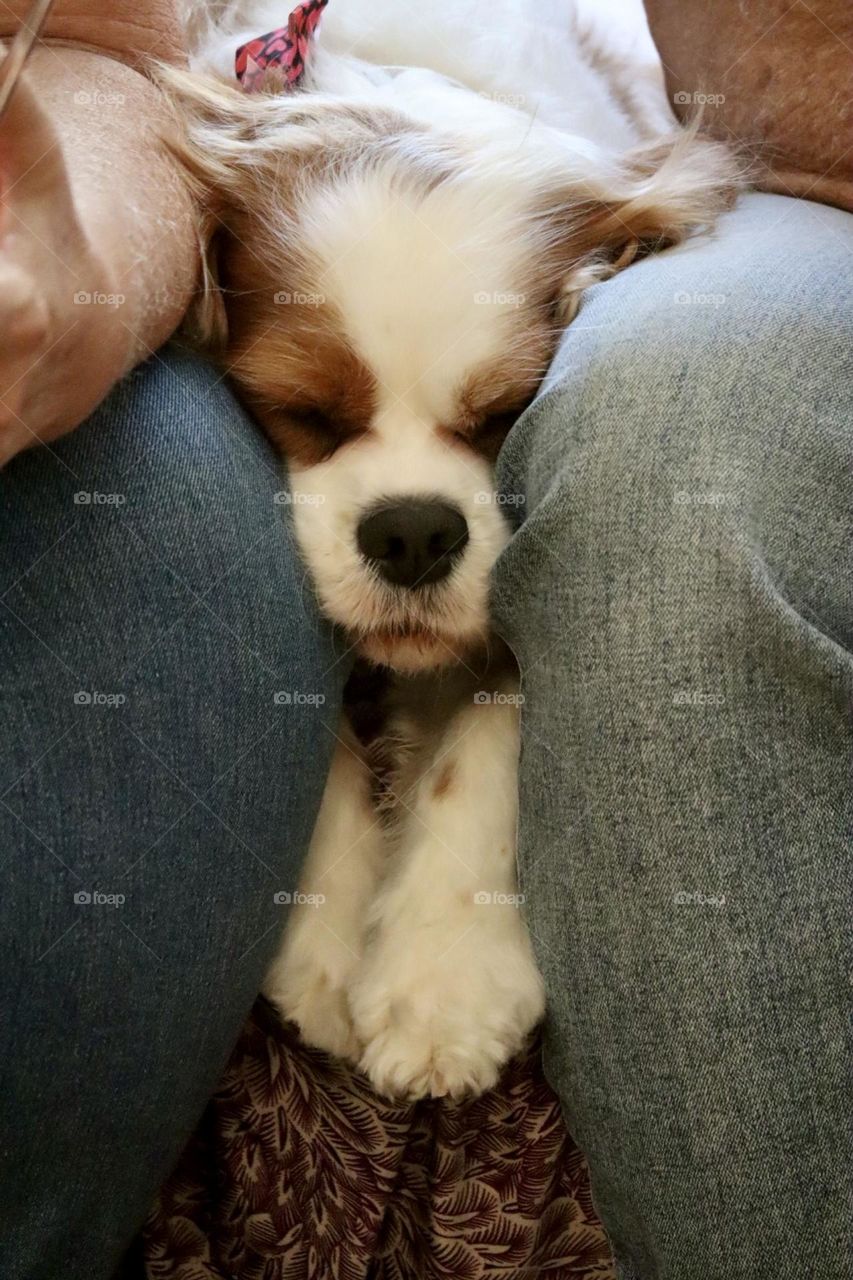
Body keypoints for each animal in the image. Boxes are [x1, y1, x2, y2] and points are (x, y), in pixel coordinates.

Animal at [166, 0, 737, 1100]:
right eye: (303, 410)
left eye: (508, 412)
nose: (412, 531)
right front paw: (324, 945)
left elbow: (482, 741)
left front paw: (442, 977)